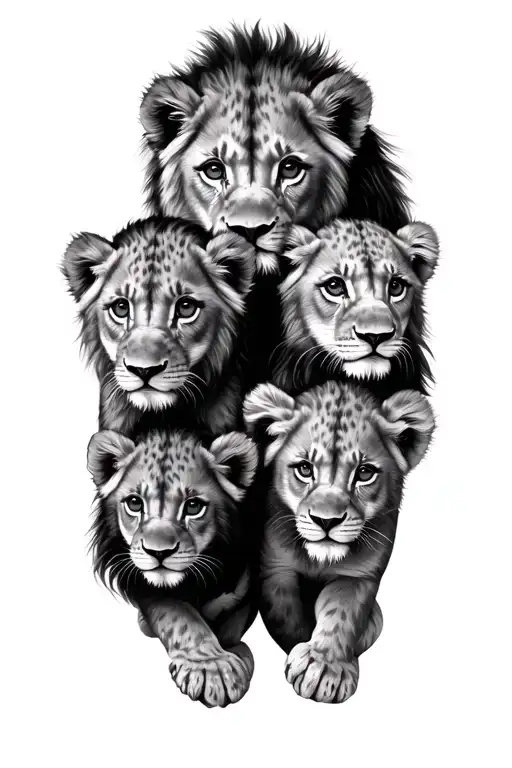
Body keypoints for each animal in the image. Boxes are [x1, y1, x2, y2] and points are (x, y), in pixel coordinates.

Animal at [87, 425, 259, 707]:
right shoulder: (142, 583)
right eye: (134, 503)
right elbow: (180, 617)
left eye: (193, 506)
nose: (159, 552)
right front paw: (212, 668)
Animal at [244, 380, 435, 703]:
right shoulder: (275, 568)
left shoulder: (359, 575)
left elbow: (342, 615)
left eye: (364, 473)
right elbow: (286, 617)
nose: (326, 521)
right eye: (304, 468)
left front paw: (323, 667)